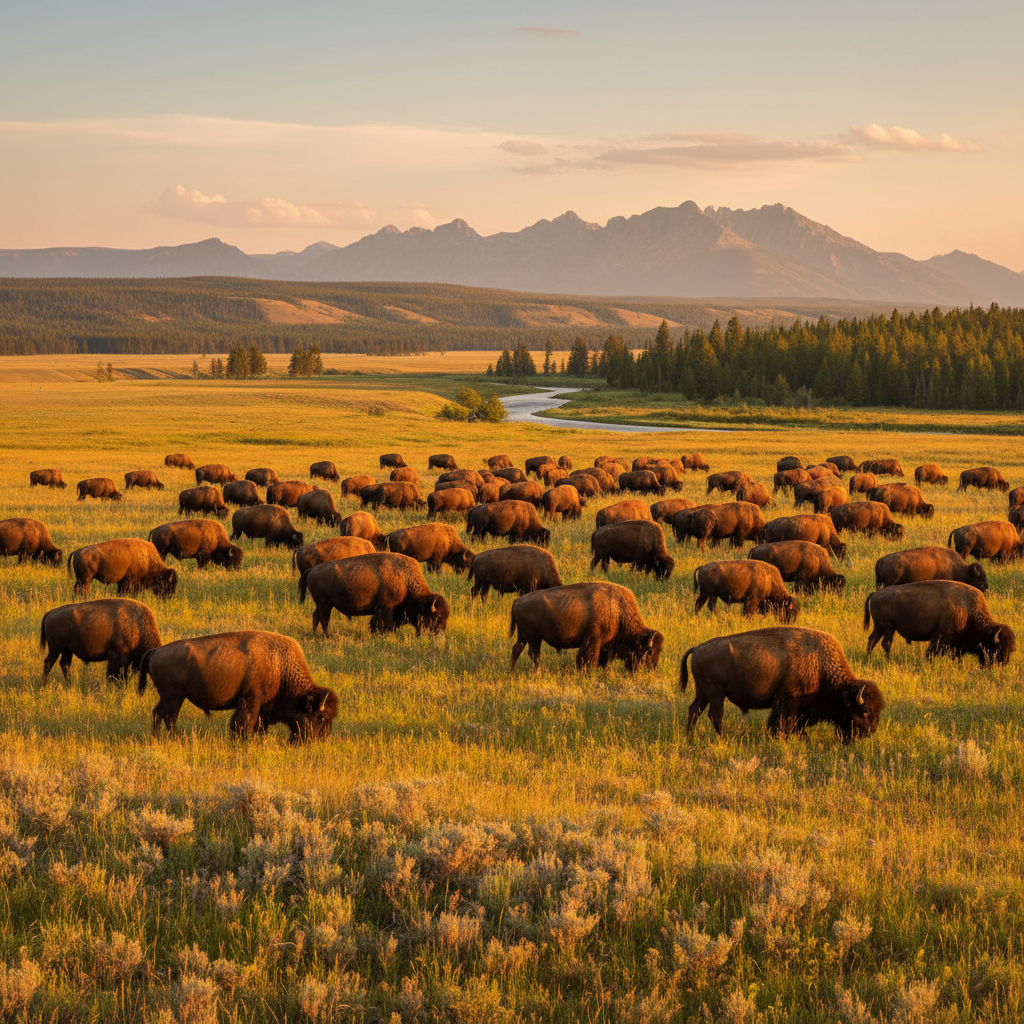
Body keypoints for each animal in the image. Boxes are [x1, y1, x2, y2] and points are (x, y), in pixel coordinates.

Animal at [140, 630, 338, 741]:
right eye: (321, 718)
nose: (321, 741)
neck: (279, 665)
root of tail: (156, 651)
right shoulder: (251, 700)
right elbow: (243, 722)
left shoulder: (262, 706)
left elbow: (258, 724)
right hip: (174, 697)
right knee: (168, 717)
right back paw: (174, 739)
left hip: (169, 698)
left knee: (158, 714)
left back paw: (157, 738)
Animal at [509, 581, 663, 672]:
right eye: (650, 652)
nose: (651, 670)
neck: (618, 610)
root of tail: (517, 600)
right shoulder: (593, 640)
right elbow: (589, 658)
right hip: (533, 637)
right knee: (532, 654)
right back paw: (535, 671)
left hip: (526, 637)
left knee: (518, 649)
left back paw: (513, 672)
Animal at [681, 627, 883, 741]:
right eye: (865, 712)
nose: (869, 732)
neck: (820, 664)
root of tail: (697, 648)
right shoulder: (788, 701)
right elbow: (784, 722)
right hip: (716, 694)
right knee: (715, 715)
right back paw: (723, 739)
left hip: (703, 693)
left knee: (694, 710)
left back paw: (689, 736)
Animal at [864, 580, 1015, 666]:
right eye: (998, 648)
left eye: (1011, 650)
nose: (1002, 664)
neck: (968, 610)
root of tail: (876, 593)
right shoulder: (940, 636)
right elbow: (931, 652)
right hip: (888, 628)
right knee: (886, 643)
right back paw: (887, 661)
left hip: (880, 628)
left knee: (872, 640)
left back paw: (869, 659)